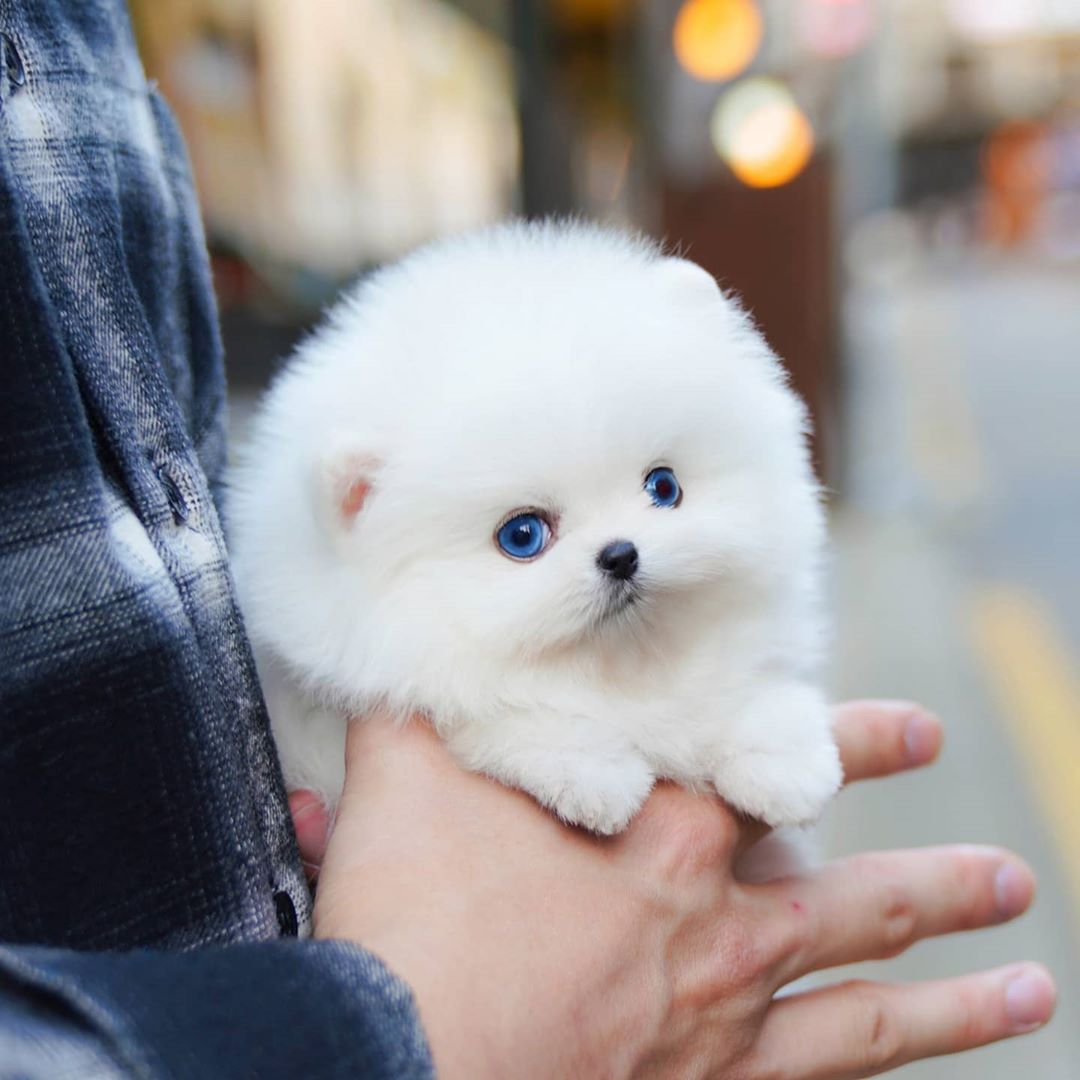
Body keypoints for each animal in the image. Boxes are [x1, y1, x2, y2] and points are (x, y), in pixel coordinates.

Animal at [234, 221, 842, 833]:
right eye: (521, 536)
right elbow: (496, 714)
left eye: (664, 487)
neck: (626, 666)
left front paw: (785, 762)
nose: (621, 554)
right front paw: (589, 772)